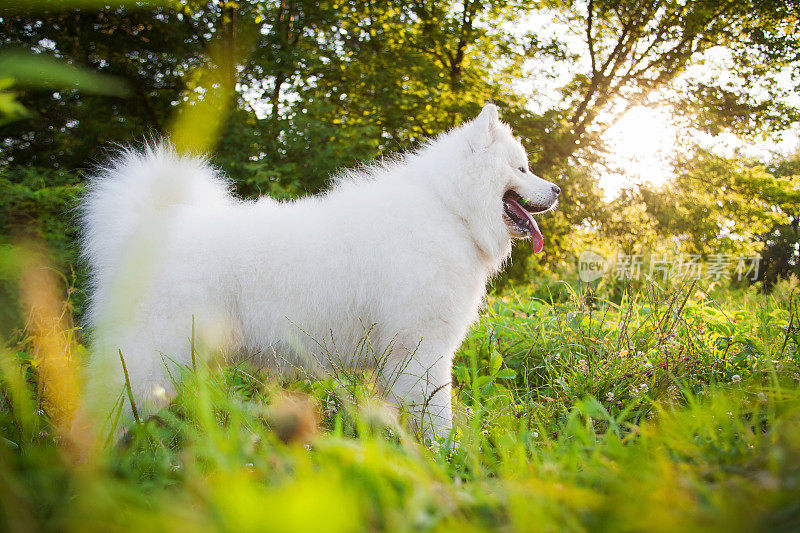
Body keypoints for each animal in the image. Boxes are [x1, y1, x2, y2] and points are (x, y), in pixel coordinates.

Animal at [79, 104, 556, 440]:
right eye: (521, 168)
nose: (556, 190)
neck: (450, 208)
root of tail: (143, 228)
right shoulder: (423, 350)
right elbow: (437, 417)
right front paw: (448, 459)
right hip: (149, 357)